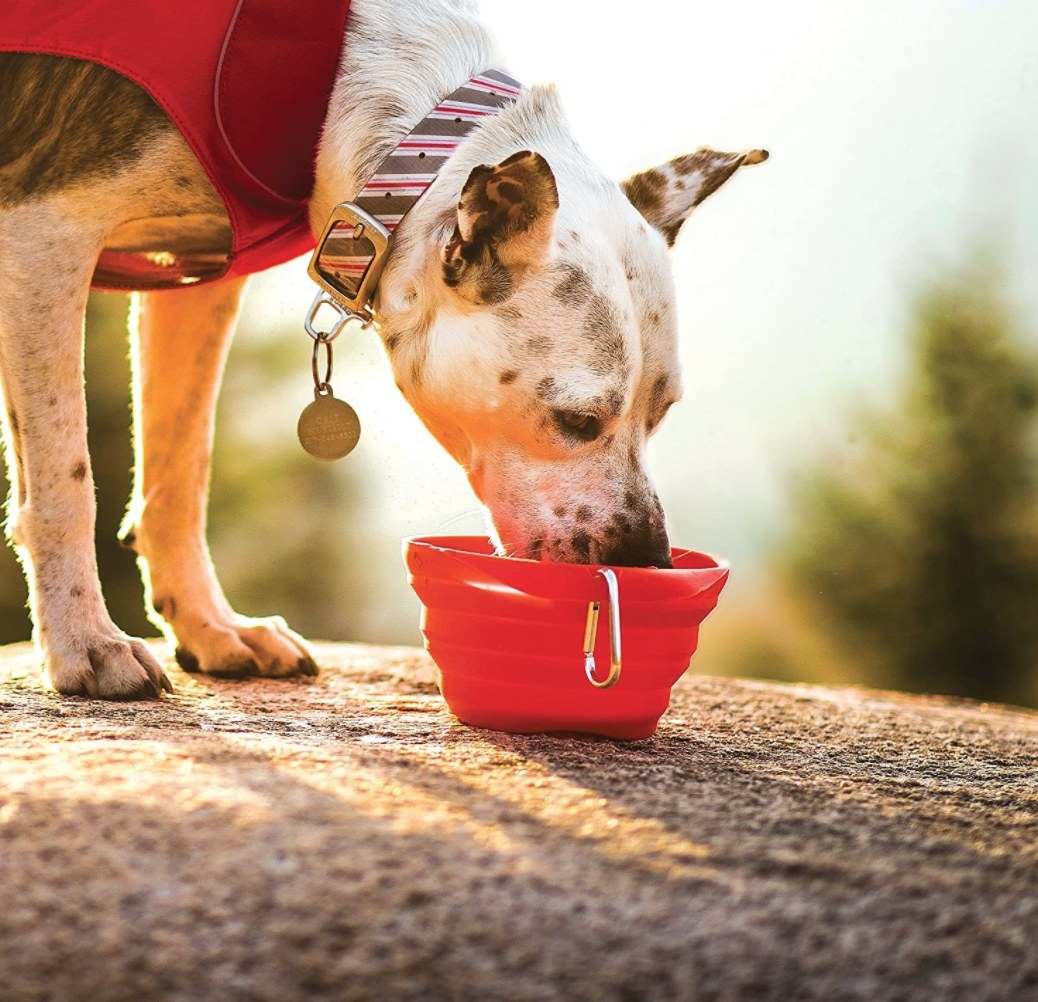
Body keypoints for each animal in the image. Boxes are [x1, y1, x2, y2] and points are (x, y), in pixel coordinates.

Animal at [0, 0, 763, 701]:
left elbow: (180, 472)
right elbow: (66, 483)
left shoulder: (200, 282)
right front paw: (84, 643)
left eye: (660, 415)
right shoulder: (43, 230)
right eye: (577, 420)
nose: (648, 559)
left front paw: (210, 628)